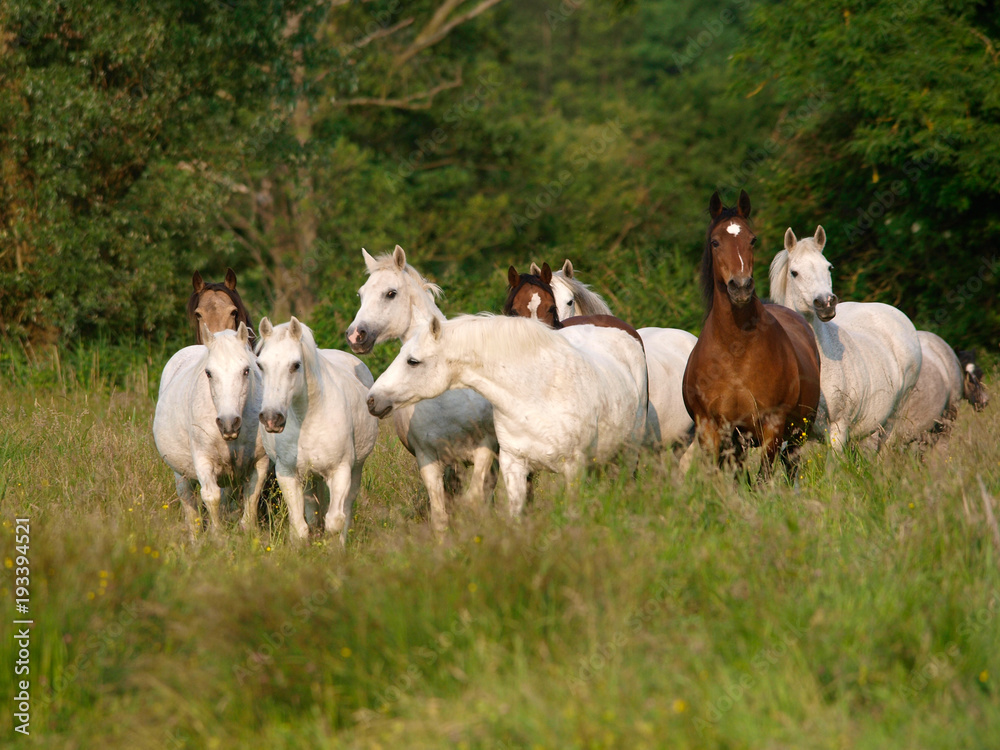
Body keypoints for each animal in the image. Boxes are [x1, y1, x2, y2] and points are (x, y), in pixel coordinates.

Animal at [153, 323, 270, 536]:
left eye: (246, 371)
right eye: (209, 373)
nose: (228, 423)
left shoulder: (260, 461)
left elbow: (252, 496)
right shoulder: (203, 459)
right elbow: (211, 496)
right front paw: (218, 536)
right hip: (180, 474)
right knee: (190, 506)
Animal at [256, 317, 379, 544]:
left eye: (296, 365)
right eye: (260, 365)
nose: (271, 418)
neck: (307, 419)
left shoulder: (340, 472)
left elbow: (335, 522)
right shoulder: (287, 473)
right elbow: (300, 528)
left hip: (355, 469)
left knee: (347, 507)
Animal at [345, 246, 498, 533]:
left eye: (390, 293)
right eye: (360, 293)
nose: (355, 336)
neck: (448, 399)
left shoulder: (485, 449)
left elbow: (474, 501)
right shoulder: (428, 461)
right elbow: (440, 516)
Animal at [367, 314, 648, 517]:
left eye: (412, 361)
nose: (372, 400)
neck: (537, 393)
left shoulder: (573, 468)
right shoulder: (513, 465)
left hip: (630, 449)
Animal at [681, 190, 821, 476]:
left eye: (752, 240)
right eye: (715, 242)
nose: (741, 287)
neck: (736, 350)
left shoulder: (773, 426)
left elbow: (762, 477)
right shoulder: (712, 429)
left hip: (797, 435)